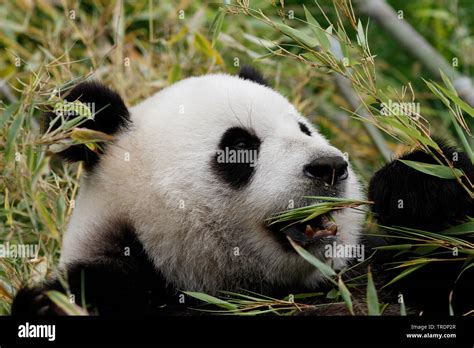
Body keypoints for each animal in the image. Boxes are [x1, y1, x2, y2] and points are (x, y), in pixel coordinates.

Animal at [11, 65, 474, 316]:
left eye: (303, 129)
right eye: (239, 146)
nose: (330, 168)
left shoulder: (369, 270)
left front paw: (419, 184)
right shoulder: (125, 282)